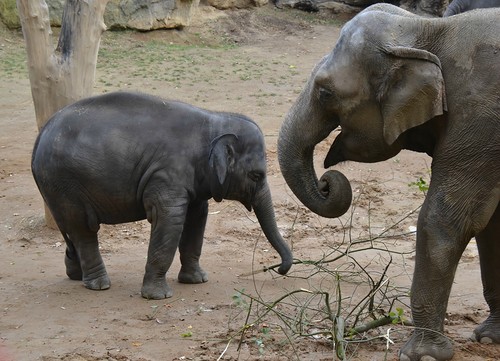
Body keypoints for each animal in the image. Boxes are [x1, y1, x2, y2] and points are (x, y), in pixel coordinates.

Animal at [32, 90, 292, 298]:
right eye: (257, 175)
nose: (278, 268)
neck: (213, 120)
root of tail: (41, 135)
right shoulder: (167, 174)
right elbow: (170, 219)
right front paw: (157, 296)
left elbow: (197, 218)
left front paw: (197, 280)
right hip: (64, 182)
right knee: (83, 228)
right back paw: (99, 284)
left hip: (56, 187)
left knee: (70, 229)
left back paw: (75, 275)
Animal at [278, 3, 500, 360]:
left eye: (325, 92)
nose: (326, 183)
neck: (426, 30)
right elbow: (492, 224)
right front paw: (489, 339)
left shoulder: (482, 119)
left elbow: (446, 221)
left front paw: (422, 355)